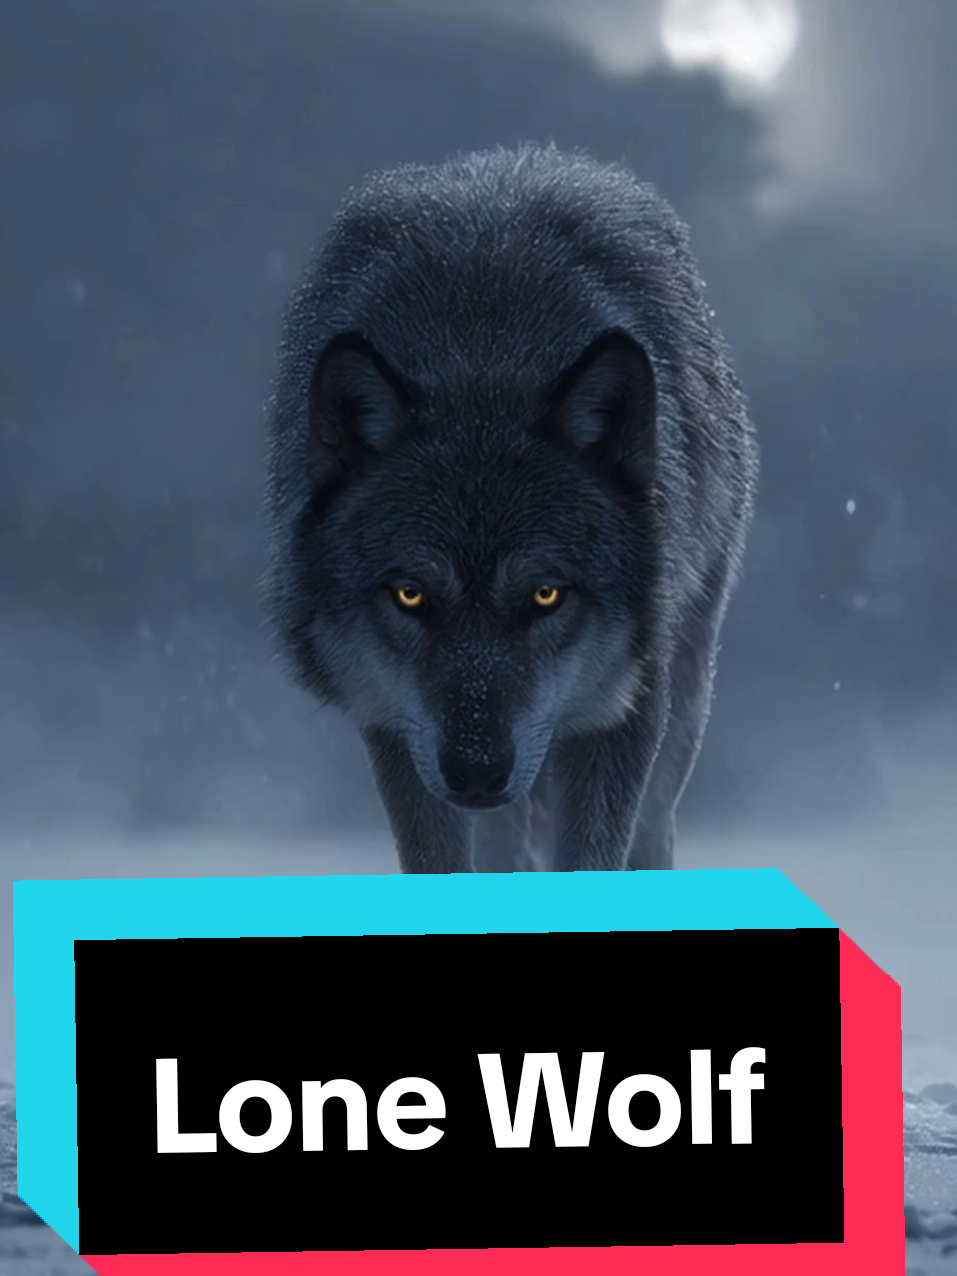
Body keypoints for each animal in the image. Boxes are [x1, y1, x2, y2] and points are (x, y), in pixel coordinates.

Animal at [264, 143, 758, 873]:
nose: (476, 771)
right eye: (410, 595)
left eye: (546, 594)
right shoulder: (393, 726)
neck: (480, 358)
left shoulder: (625, 708)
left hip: (677, 711)